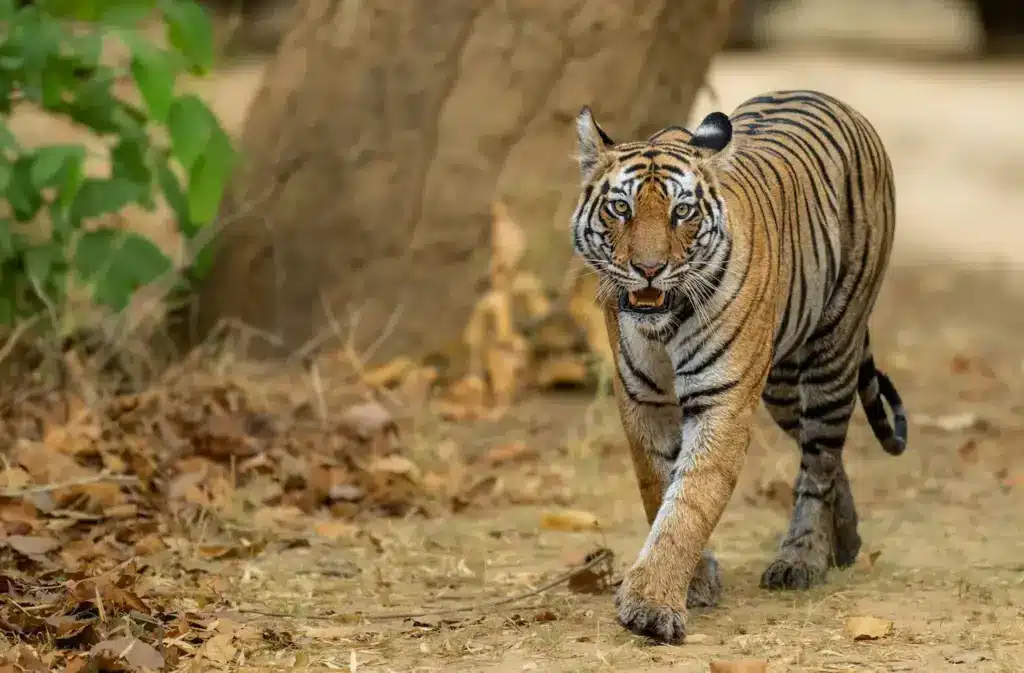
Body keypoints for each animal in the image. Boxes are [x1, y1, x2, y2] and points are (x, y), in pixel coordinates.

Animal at [573, 89, 909, 639]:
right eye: (620, 208)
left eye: (682, 212)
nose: (648, 269)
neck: (663, 324)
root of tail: (831, 98)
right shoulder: (643, 399)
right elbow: (659, 485)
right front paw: (693, 581)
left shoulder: (722, 400)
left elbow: (691, 499)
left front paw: (652, 605)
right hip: (780, 384)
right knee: (824, 455)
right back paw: (847, 540)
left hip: (832, 353)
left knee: (819, 461)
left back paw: (802, 559)